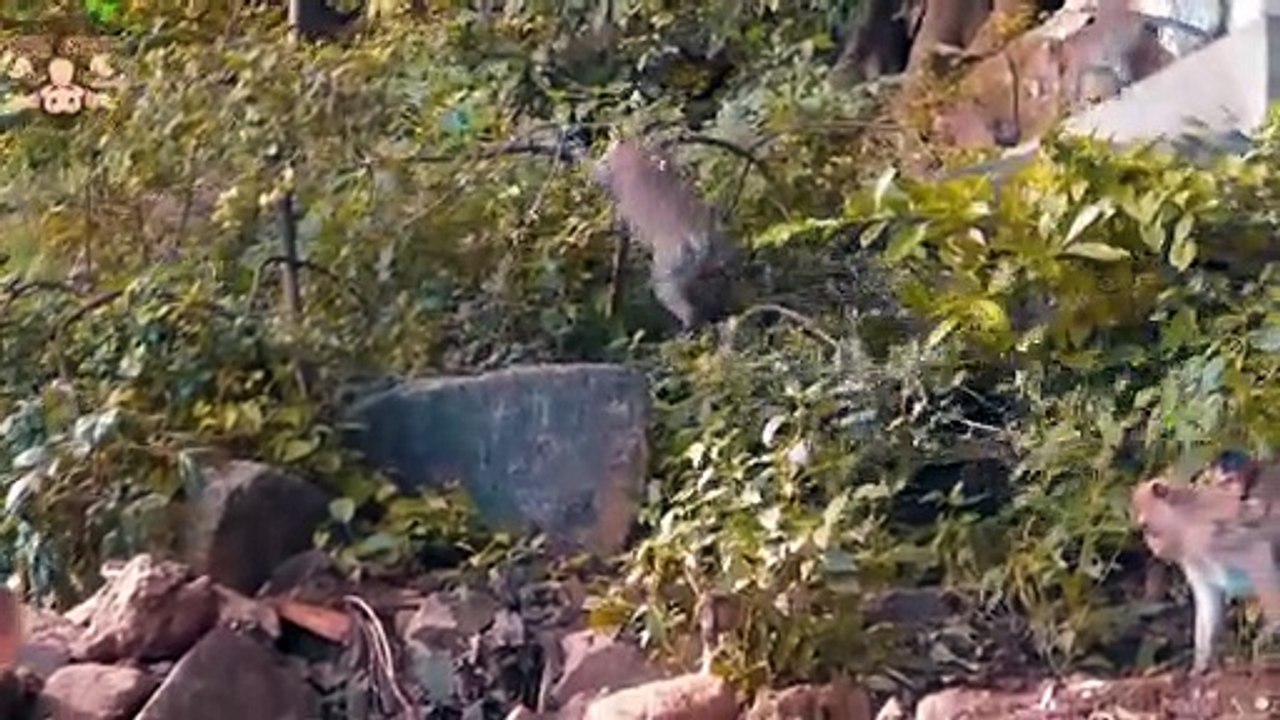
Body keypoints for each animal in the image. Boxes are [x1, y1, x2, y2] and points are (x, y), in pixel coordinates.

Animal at [591, 138, 739, 331]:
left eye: (603, 158)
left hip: (667, 276)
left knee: (685, 308)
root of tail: (698, 237)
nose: (593, 170)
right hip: (722, 260)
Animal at [1131, 476, 1280, 673]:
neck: (1185, 521)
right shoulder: (1195, 560)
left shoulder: (1211, 540)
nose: (1152, 546)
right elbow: (1209, 602)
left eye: (1146, 527)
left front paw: (1270, 632)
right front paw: (1200, 665)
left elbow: (1259, 559)